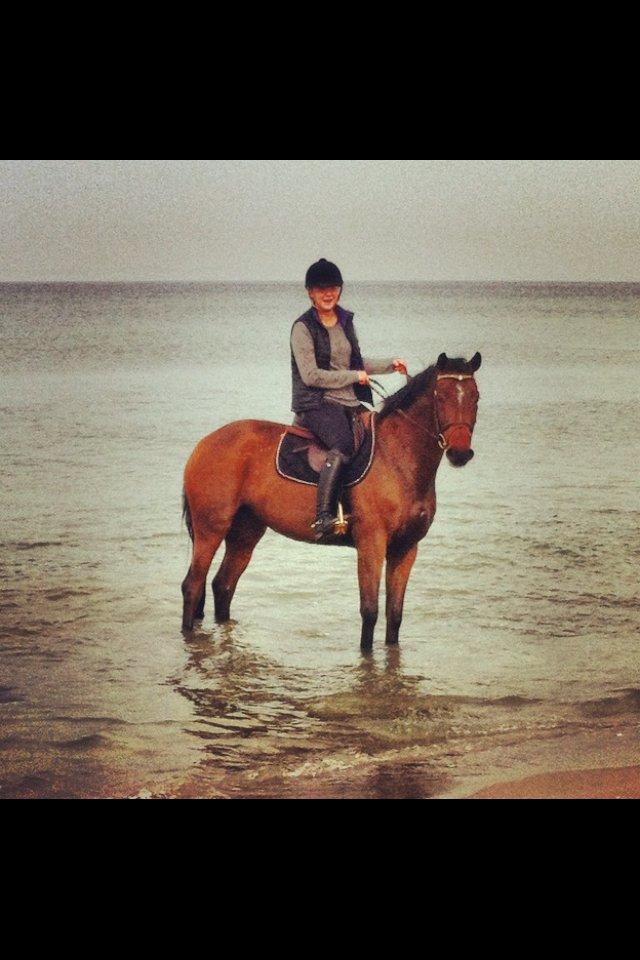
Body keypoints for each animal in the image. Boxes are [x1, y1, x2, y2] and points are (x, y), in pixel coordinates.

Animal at [180, 352, 480, 652]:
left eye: (475, 396)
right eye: (441, 396)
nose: (460, 453)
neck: (398, 459)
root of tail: (204, 444)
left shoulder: (406, 549)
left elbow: (394, 616)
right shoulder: (371, 544)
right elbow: (370, 611)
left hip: (246, 532)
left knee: (223, 586)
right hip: (211, 530)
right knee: (192, 585)